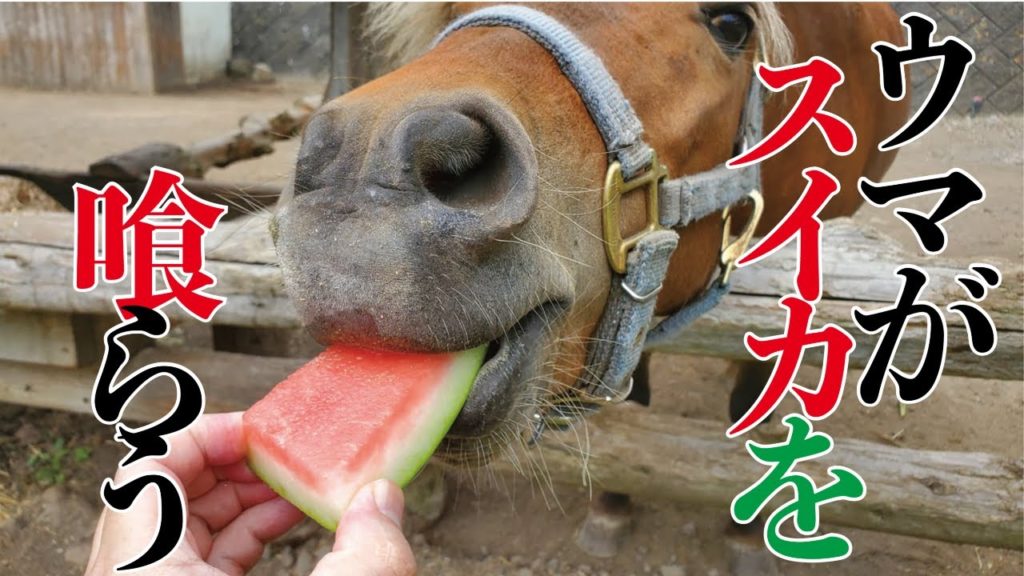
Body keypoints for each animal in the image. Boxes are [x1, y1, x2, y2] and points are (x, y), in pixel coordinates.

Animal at [272, 1, 909, 565]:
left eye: (733, 23)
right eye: (450, 6)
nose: (365, 171)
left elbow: (754, 388)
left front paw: (748, 531)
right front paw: (612, 507)